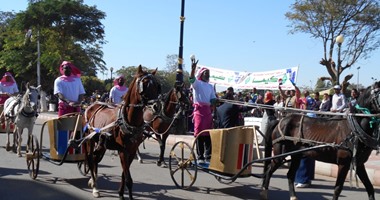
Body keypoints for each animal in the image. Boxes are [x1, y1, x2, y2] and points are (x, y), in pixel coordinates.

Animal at [83, 65, 160, 199]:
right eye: (144, 84)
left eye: (156, 85)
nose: (156, 106)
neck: (130, 122)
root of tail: (92, 105)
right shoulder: (123, 151)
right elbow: (129, 179)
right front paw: (127, 196)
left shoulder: (132, 150)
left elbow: (125, 174)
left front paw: (120, 193)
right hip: (90, 139)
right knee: (90, 159)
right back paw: (95, 187)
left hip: (102, 143)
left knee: (95, 158)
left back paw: (94, 181)